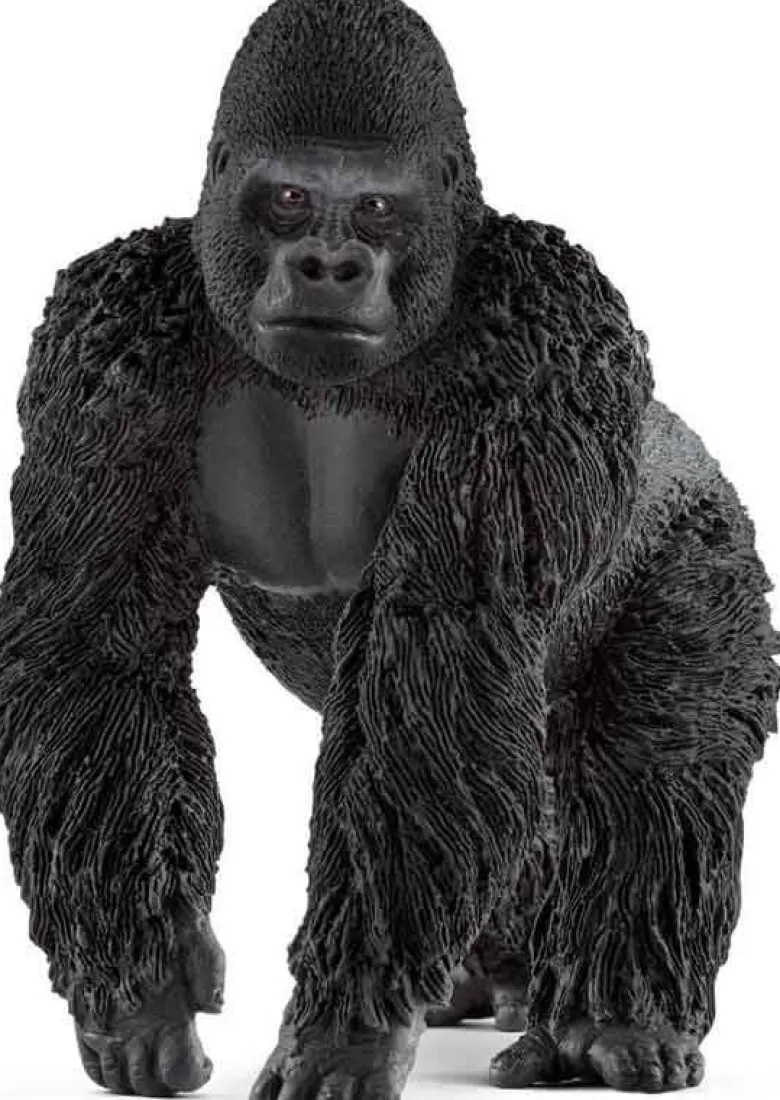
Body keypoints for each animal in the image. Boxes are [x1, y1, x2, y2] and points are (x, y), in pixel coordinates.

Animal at [1, 0, 778, 1096]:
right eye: (289, 199)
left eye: (374, 210)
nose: (330, 267)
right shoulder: (98, 340)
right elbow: (92, 649)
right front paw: (144, 980)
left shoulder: (548, 336)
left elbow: (442, 653)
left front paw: (344, 1025)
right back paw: (496, 982)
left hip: (711, 551)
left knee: (649, 771)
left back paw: (614, 1017)